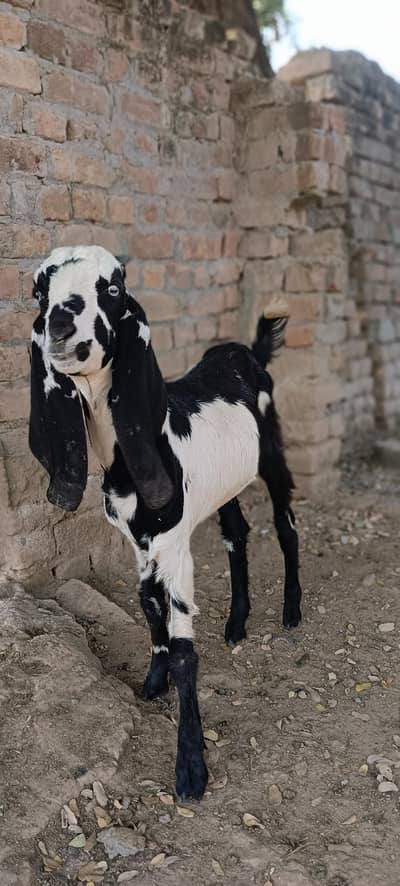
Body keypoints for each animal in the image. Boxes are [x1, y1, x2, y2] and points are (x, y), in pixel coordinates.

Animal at [29, 245, 302, 800]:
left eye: (112, 288)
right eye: (39, 292)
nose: (60, 327)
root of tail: (247, 353)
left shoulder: (174, 548)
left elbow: (182, 648)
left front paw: (191, 768)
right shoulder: (140, 543)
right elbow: (147, 605)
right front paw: (153, 683)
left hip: (272, 454)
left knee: (285, 526)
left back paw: (291, 611)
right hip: (224, 484)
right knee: (237, 535)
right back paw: (237, 623)